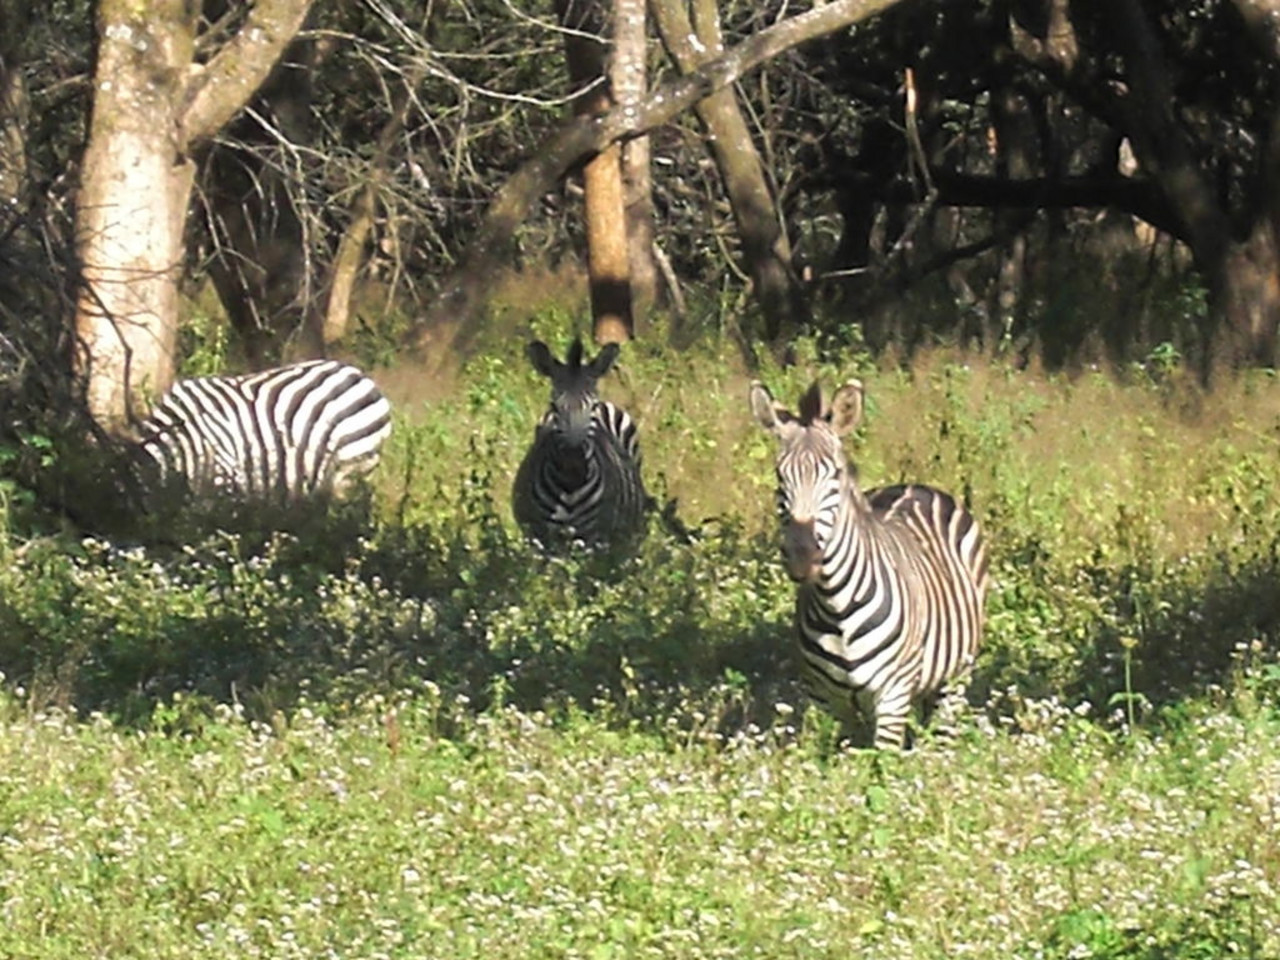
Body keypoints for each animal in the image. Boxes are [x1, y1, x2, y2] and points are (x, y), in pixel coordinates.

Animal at [513, 338, 649, 550]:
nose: (574, 462)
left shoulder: (592, 540)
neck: (569, 488)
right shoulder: (539, 538)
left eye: (593, 406)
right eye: (553, 406)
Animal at [749, 379, 989, 749]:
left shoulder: (893, 695)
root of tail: (915, 485)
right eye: (780, 476)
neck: (835, 605)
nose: (802, 555)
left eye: (834, 475)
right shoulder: (826, 700)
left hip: (957, 676)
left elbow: (881, 762)